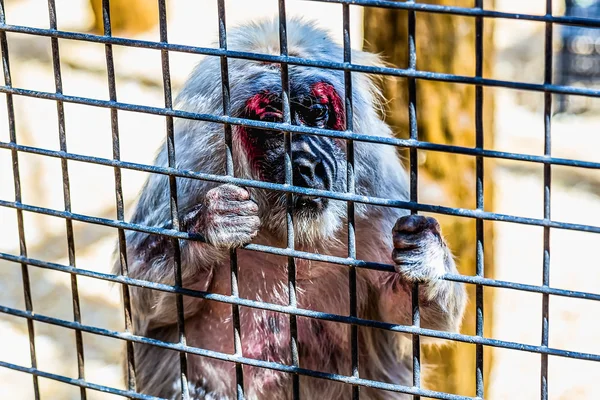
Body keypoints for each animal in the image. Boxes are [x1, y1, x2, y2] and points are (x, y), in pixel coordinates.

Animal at [115, 16, 466, 400]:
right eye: (272, 123)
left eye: (316, 114)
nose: (307, 165)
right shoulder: (185, 177)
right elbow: (141, 294)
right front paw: (210, 224)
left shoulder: (379, 202)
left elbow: (420, 318)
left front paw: (426, 254)